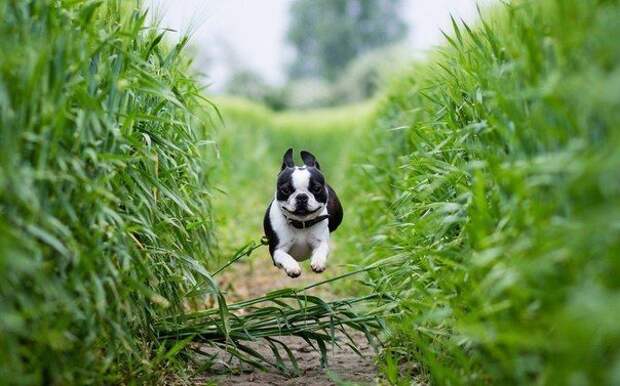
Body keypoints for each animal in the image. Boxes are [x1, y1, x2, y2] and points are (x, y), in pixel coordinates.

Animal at [262, 148, 344, 278]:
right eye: (285, 190)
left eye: (316, 188)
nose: (301, 197)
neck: (301, 224)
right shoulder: (276, 250)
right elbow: (284, 256)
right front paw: (292, 267)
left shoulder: (320, 241)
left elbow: (321, 249)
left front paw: (318, 262)